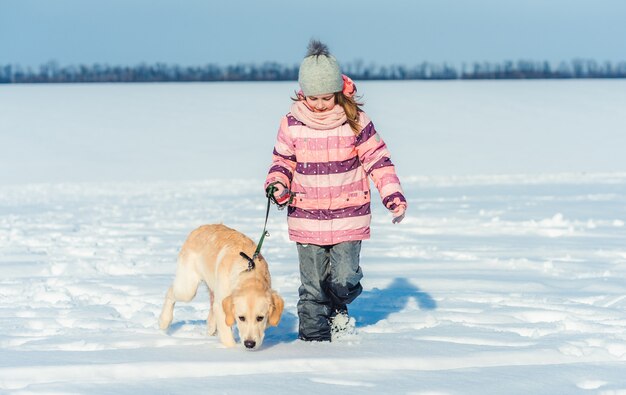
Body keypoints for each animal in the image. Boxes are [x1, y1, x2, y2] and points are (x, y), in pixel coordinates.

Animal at [157, 224, 284, 352]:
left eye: (260, 318)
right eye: (241, 318)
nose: (249, 344)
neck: (249, 274)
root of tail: (199, 228)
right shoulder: (222, 306)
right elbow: (227, 336)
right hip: (187, 289)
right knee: (170, 292)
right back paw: (164, 321)